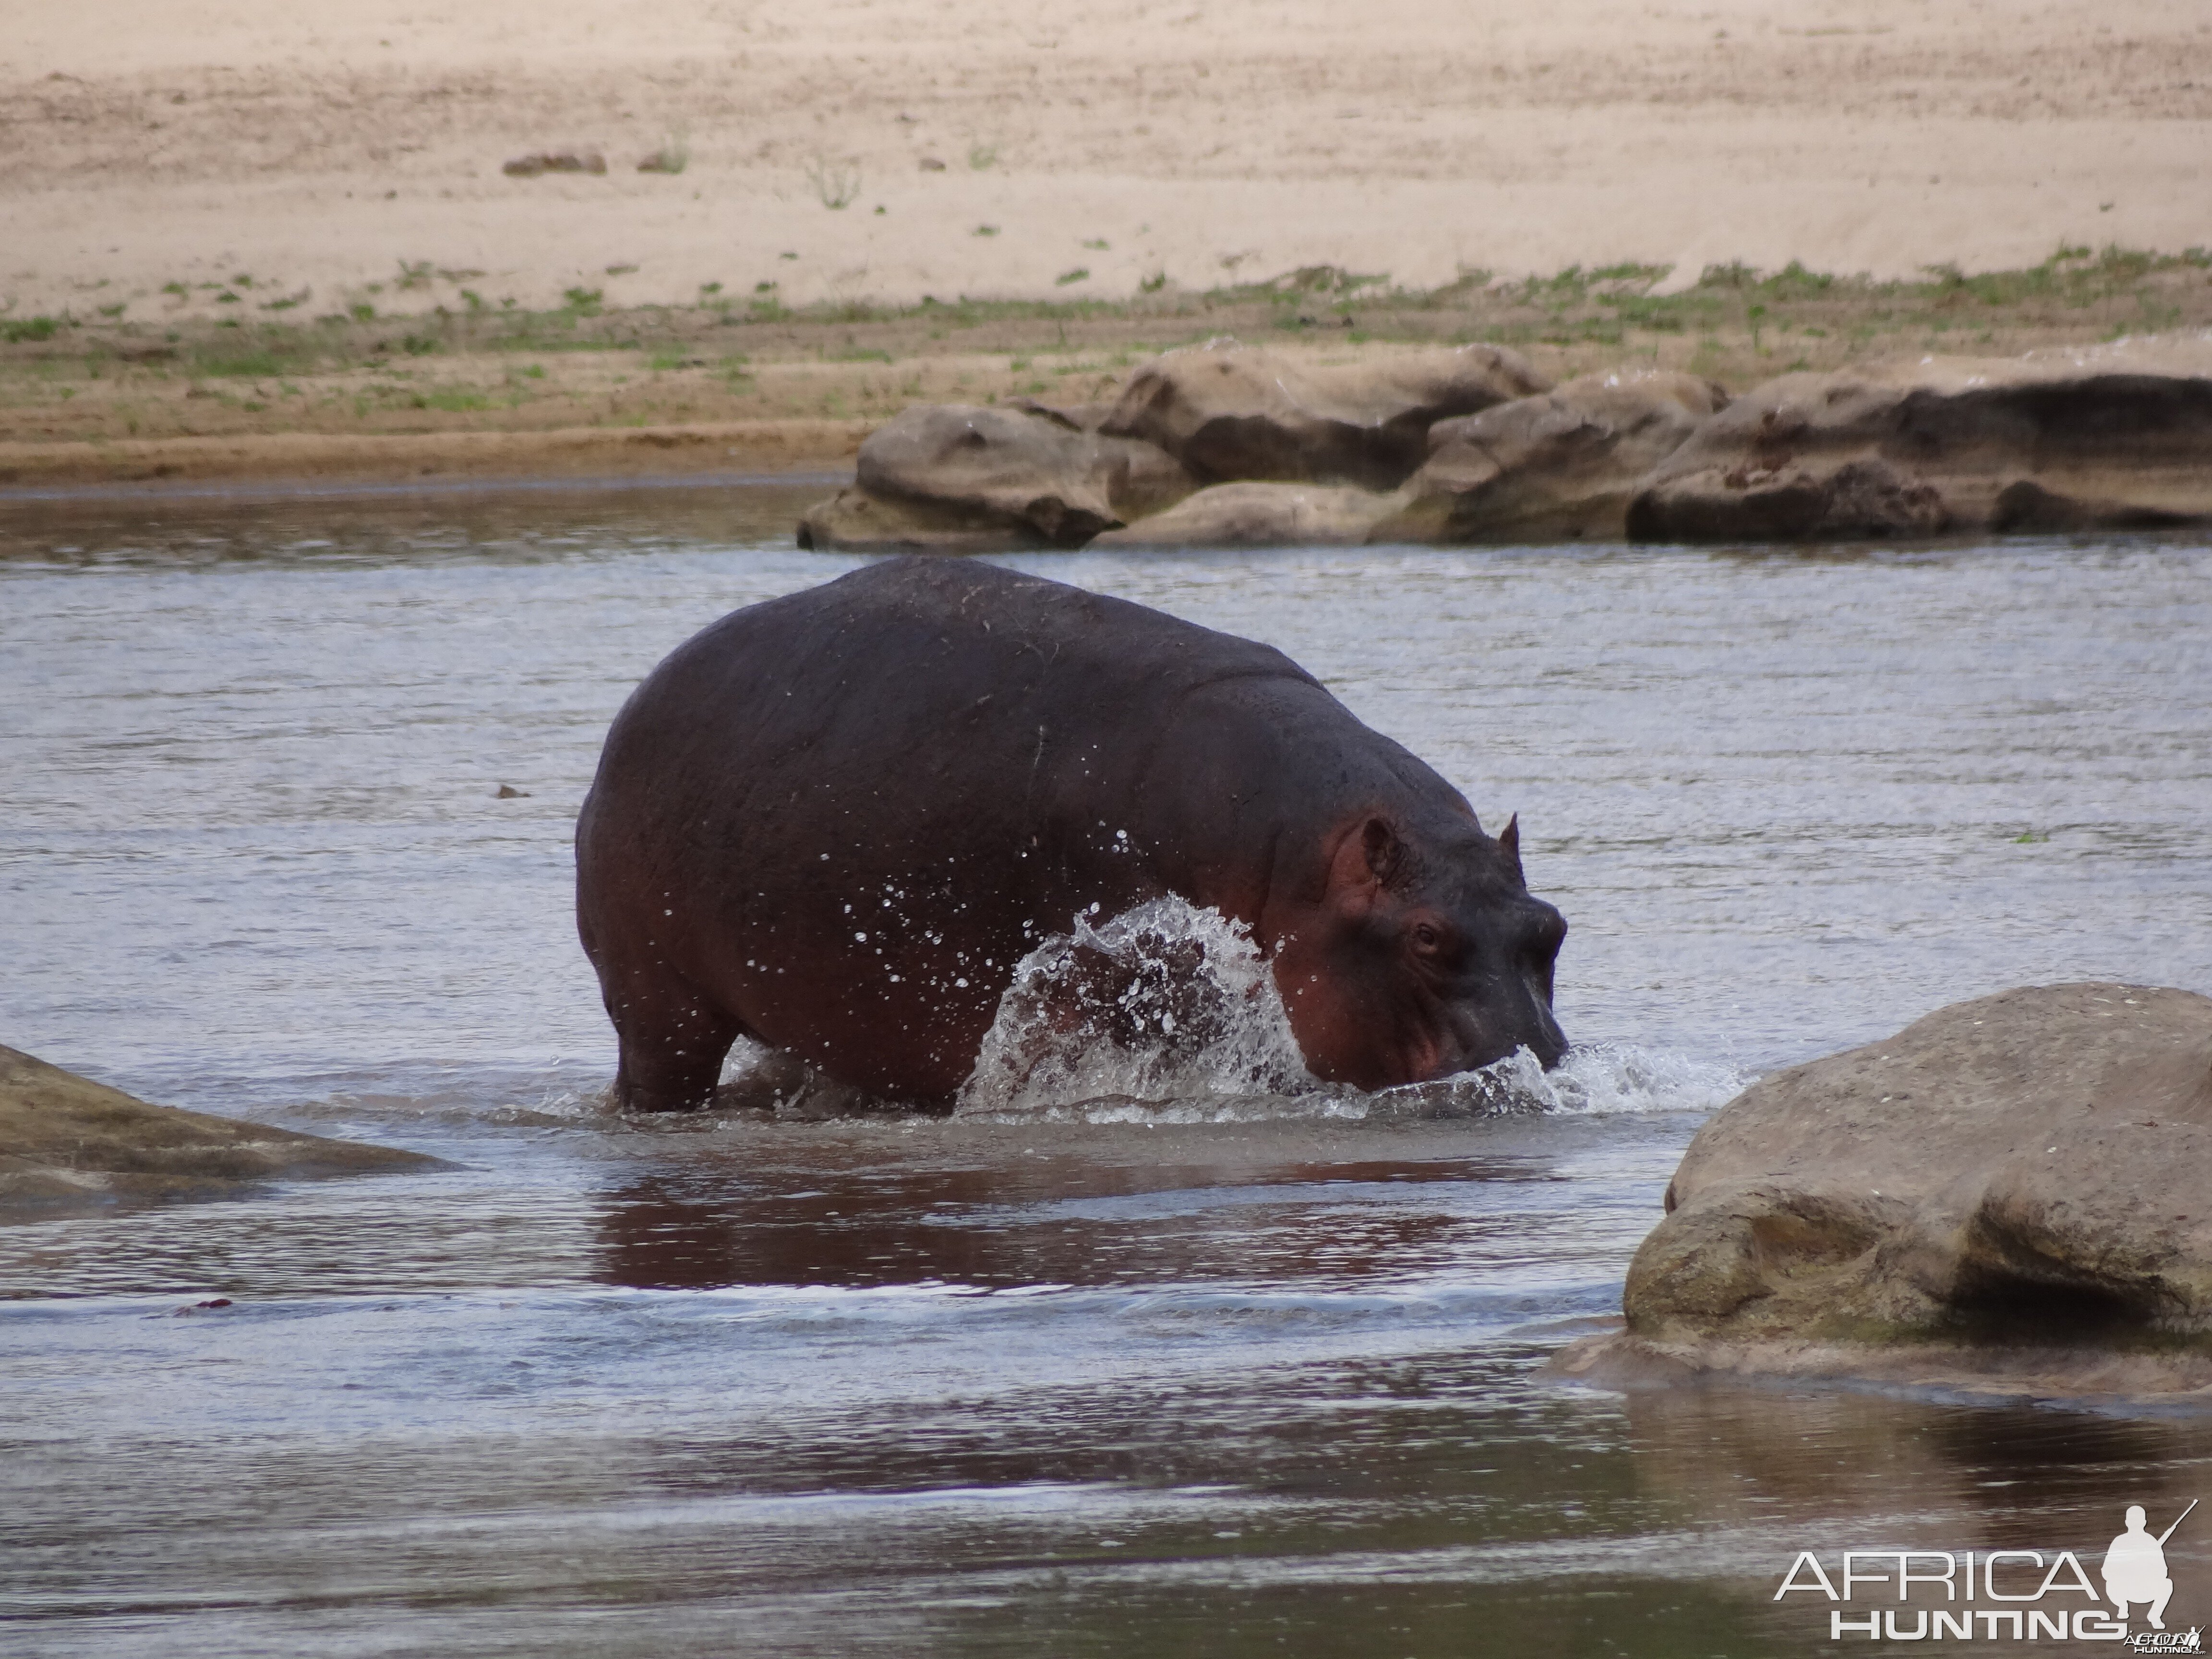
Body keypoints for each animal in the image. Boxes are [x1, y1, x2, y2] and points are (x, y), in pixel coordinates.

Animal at [579, 559, 1566, 1119]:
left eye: (1552, 927)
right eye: (1426, 937)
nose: (1541, 1062)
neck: (1300, 866)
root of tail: (638, 700)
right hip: (656, 1003)